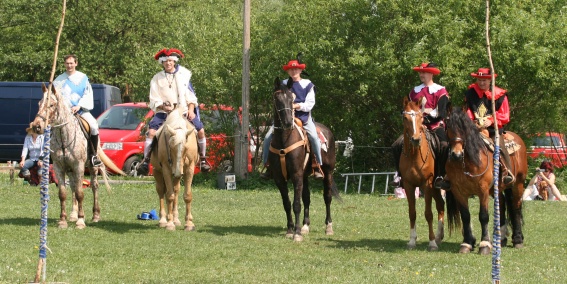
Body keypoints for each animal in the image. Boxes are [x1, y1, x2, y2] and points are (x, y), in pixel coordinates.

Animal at [31, 84, 126, 229]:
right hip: (70, 170)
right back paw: (73, 215)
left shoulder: (79, 166)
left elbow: (80, 193)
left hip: (92, 168)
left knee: (94, 186)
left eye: (51, 105)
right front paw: (63, 220)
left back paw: (95, 215)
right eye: (39, 104)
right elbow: (63, 193)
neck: (64, 137)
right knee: (73, 187)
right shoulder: (59, 167)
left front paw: (81, 221)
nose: (37, 126)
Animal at [268, 76, 340, 241]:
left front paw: (297, 233)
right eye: (277, 98)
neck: (284, 140)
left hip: (328, 172)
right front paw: (290, 230)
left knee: (327, 197)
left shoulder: (296, 175)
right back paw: (306, 225)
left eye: (292, 98)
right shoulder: (280, 178)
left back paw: (329, 227)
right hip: (305, 175)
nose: (288, 122)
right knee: (307, 197)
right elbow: (287, 203)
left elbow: (296, 204)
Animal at [398, 97, 446, 251]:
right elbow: (412, 213)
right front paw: (412, 241)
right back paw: (439, 237)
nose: (415, 139)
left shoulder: (427, 184)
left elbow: (428, 214)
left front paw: (431, 243)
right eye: (405, 118)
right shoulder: (408, 185)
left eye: (421, 117)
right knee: (441, 205)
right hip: (436, 189)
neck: (414, 156)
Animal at [444, 106, 528, 253]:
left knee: (516, 207)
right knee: (502, 206)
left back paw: (517, 239)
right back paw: (500, 239)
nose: (456, 155)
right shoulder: (458, 191)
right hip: (496, 188)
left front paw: (484, 244)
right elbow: (465, 216)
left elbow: (483, 216)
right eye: (448, 126)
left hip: (518, 183)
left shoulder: (482, 190)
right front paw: (466, 243)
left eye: (464, 128)